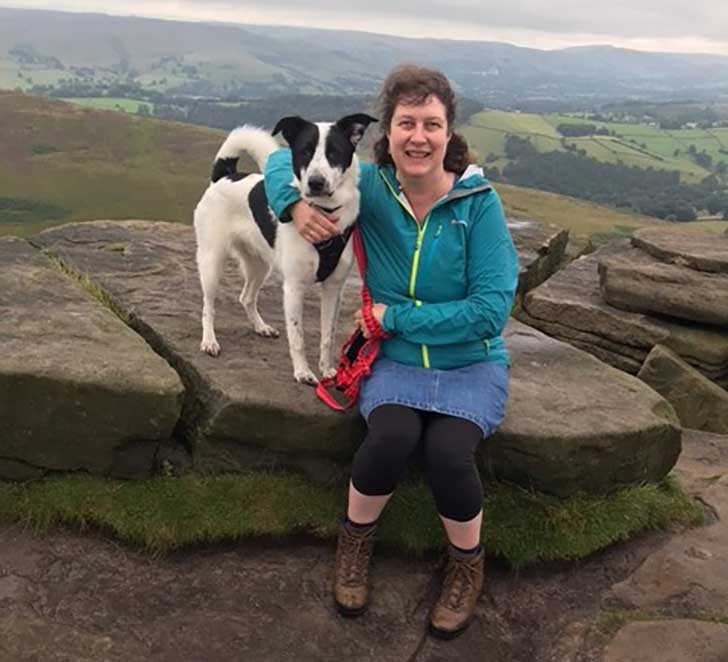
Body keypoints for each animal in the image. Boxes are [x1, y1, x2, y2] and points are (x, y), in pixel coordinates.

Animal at [193, 113, 376, 384]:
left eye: (334, 153)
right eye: (305, 152)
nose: (316, 182)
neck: (323, 213)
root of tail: (225, 175)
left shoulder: (333, 289)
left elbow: (328, 336)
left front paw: (327, 370)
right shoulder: (294, 287)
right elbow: (298, 337)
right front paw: (303, 372)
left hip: (260, 265)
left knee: (246, 296)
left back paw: (261, 327)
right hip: (212, 260)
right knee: (208, 306)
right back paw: (209, 341)